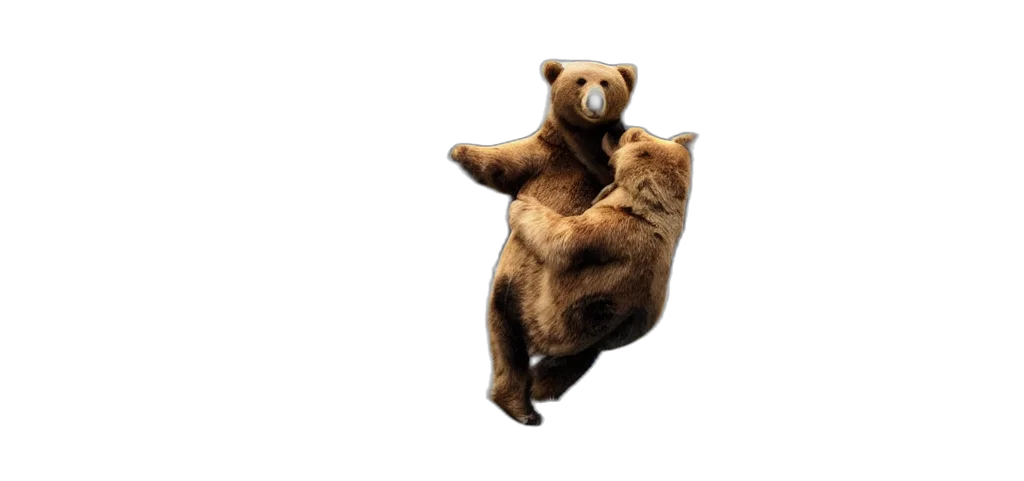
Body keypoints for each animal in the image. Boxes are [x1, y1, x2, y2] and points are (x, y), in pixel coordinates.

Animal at [449, 60, 638, 427]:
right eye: (581, 80)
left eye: (605, 82)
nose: (594, 100)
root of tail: (538, 327)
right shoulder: (543, 157)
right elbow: (503, 160)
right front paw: (460, 150)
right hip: (505, 287)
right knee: (505, 340)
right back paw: (520, 405)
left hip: (592, 316)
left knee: (582, 351)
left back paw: (537, 391)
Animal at [507, 127, 694, 365]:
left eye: (633, 134)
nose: (617, 130)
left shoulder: (610, 229)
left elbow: (562, 239)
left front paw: (522, 204)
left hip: (548, 308)